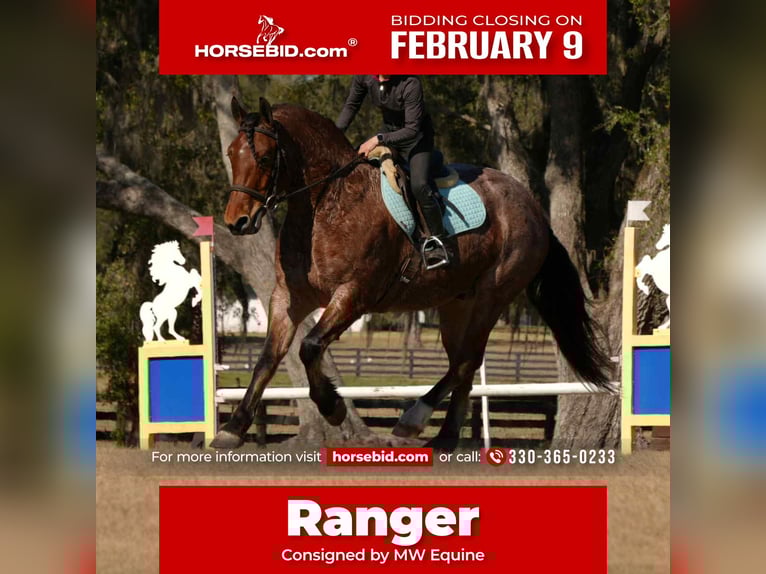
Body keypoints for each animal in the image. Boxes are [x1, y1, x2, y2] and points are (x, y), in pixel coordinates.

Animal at [211, 97, 612, 450]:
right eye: (230, 154)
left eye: (265, 157)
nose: (236, 222)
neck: (328, 202)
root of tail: (534, 208)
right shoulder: (288, 298)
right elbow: (268, 358)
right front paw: (232, 428)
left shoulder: (354, 296)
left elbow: (309, 347)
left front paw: (333, 406)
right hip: (456, 304)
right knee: (464, 365)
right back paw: (444, 438)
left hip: (493, 295)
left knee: (466, 360)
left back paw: (414, 420)